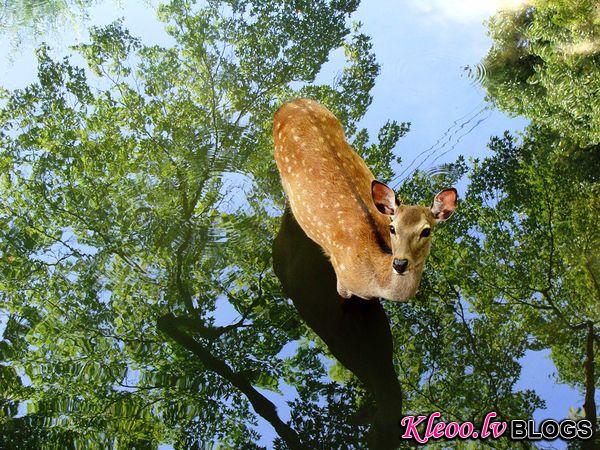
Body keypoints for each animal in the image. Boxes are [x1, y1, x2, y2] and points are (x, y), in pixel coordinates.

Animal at [274, 99, 458, 302]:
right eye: (393, 228)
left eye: (426, 231)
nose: (400, 263)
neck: (374, 282)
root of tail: (290, 103)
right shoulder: (343, 281)